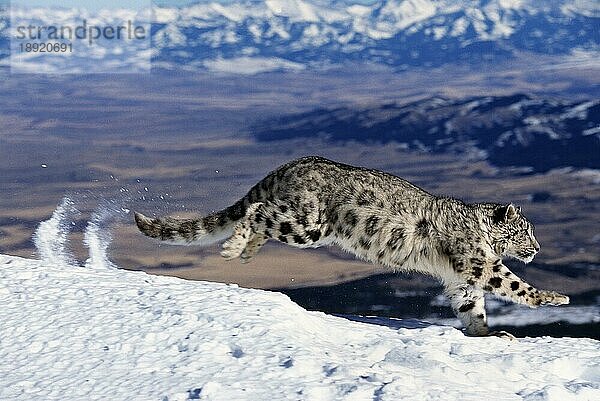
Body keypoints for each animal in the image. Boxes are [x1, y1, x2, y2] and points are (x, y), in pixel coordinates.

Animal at [134, 155, 568, 336]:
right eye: (525, 231)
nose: (538, 248)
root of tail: (291, 164)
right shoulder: (478, 263)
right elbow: (513, 284)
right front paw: (553, 298)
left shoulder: (461, 279)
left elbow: (471, 307)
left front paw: (486, 335)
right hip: (307, 224)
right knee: (257, 212)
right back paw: (234, 247)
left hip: (301, 224)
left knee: (261, 216)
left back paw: (247, 250)